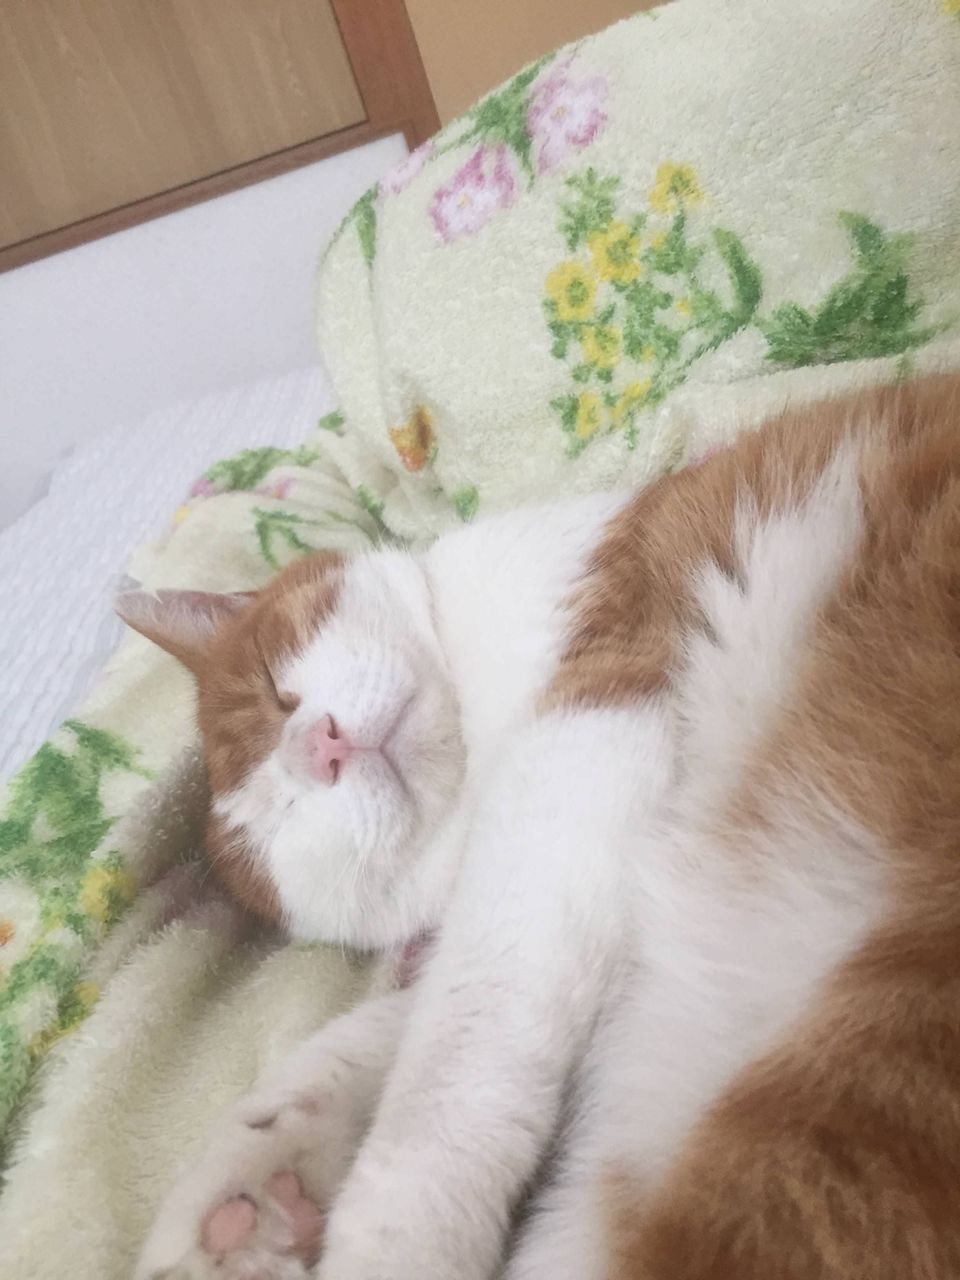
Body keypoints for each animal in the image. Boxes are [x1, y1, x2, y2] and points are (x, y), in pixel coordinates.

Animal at [119, 372, 960, 1280]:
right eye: (288, 823)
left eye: (277, 691)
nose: (322, 747)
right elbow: (415, 1019)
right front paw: (257, 1180)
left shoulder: (589, 732)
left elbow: (459, 1041)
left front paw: (389, 1232)